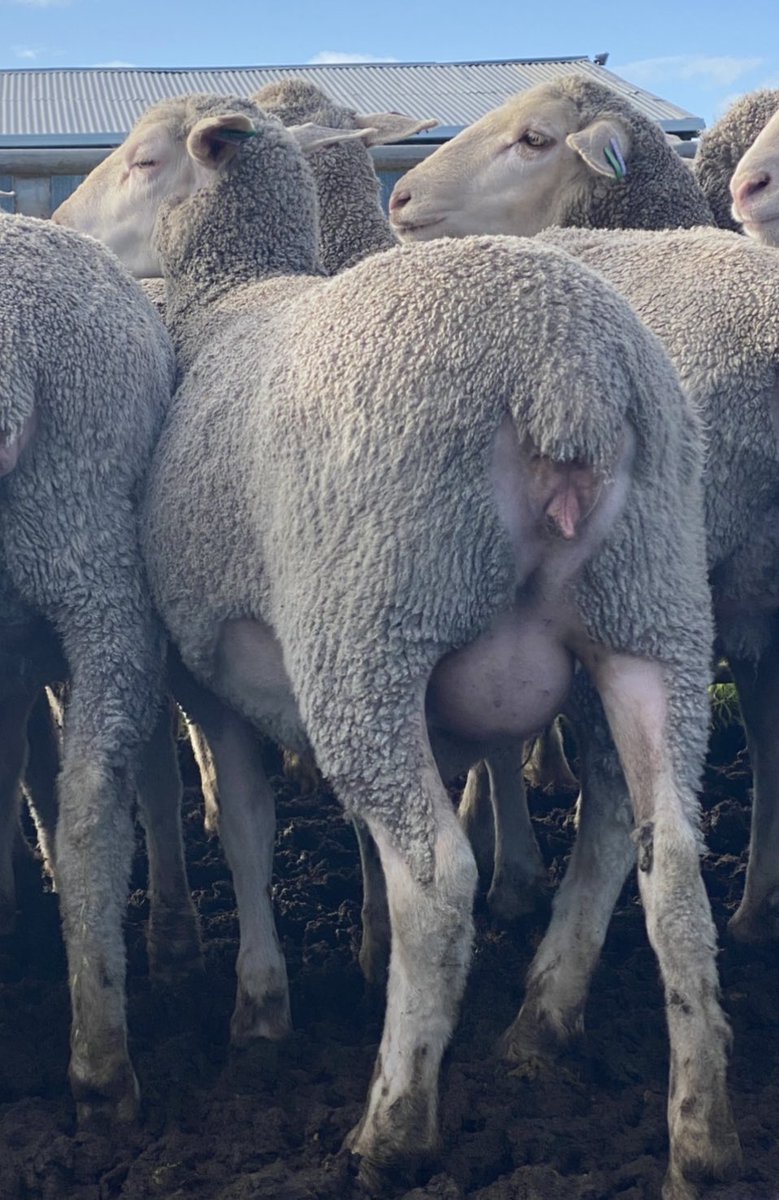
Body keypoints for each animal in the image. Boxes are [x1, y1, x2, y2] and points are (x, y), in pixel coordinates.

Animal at [53, 92, 740, 1196]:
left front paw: (261, 1009)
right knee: (665, 859)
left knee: (439, 880)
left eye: (145, 160)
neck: (234, 291)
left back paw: (392, 1124)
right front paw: (358, 945)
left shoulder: (213, 668)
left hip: (370, 631)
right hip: (652, 615)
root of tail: (563, 370)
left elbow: (247, 828)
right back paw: (684, 1126)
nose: (65, 226)